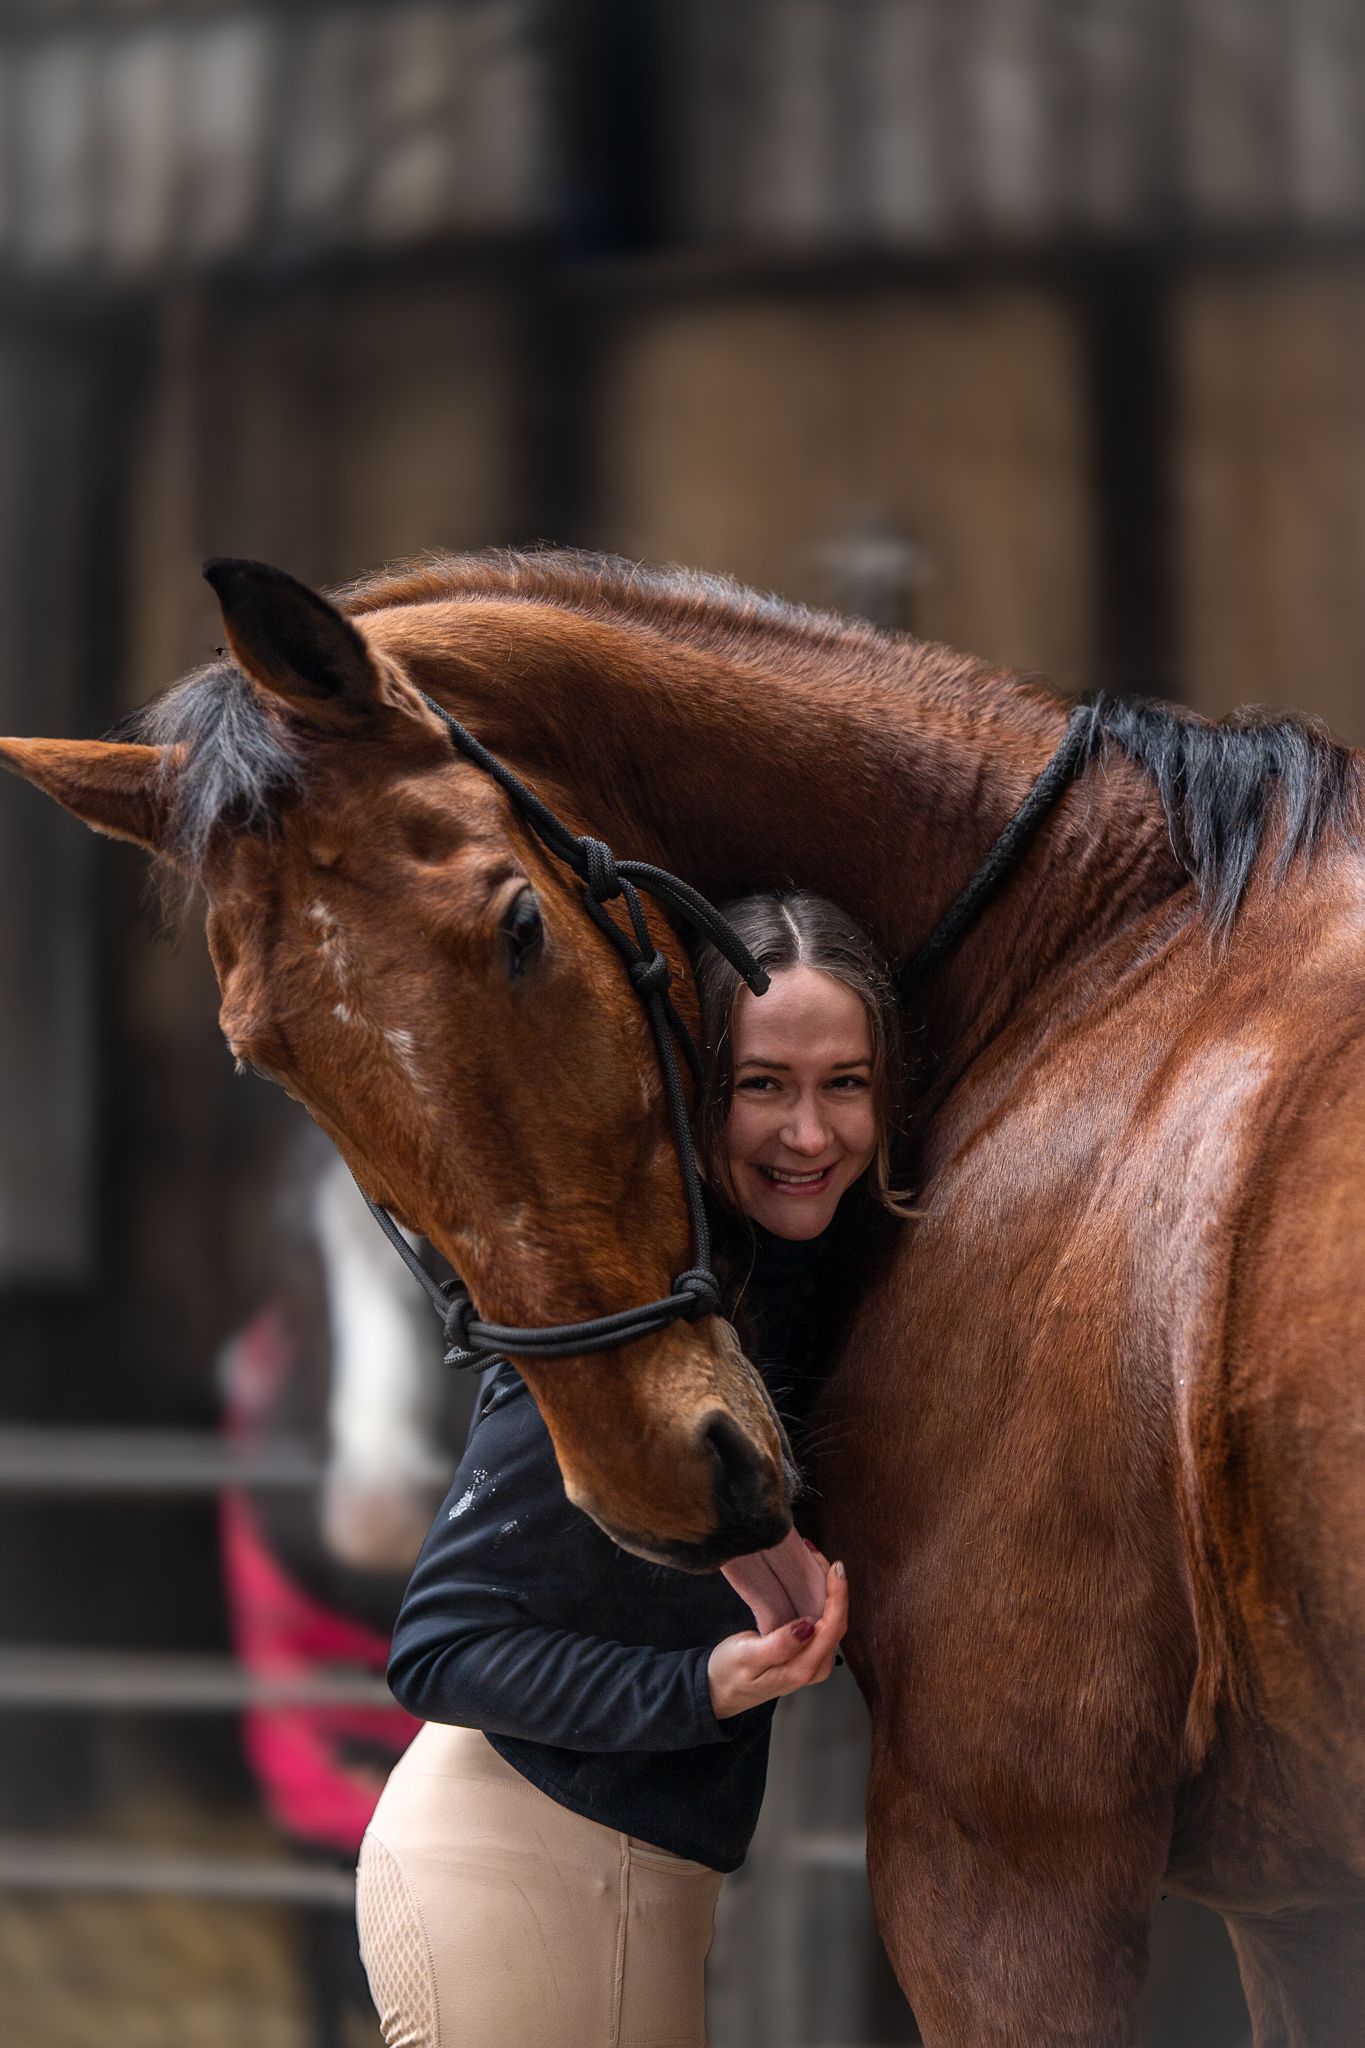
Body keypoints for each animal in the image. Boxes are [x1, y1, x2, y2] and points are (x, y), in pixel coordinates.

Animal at [3, 548, 1362, 2045]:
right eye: (263, 1052)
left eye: (521, 926)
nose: (665, 1485)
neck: (1103, 953)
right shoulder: (1289, 1901)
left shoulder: (1011, 1855)